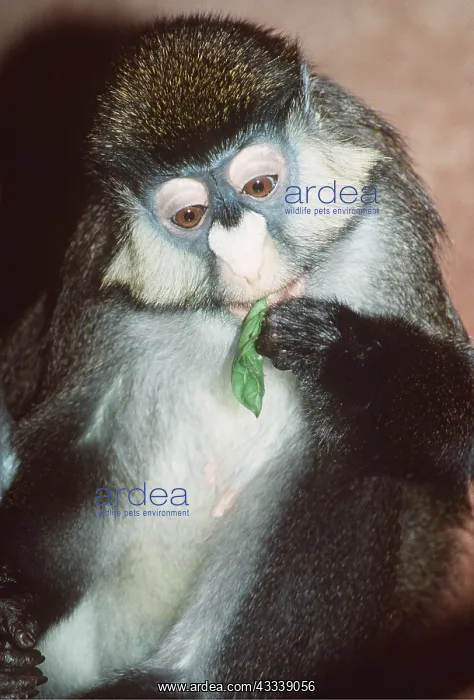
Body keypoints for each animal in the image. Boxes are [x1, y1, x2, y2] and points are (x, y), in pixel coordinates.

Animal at [0, 12, 473, 699]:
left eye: (259, 185)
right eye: (190, 216)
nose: (243, 255)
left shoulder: (391, 229)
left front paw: (348, 359)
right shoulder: (95, 275)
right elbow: (76, 444)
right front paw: (9, 625)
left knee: (353, 457)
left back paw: (189, 679)